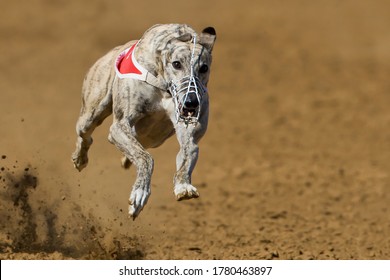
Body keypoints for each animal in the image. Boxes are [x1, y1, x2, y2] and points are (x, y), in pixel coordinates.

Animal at [71, 24, 216, 220]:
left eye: (204, 68)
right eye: (176, 64)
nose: (192, 102)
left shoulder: (189, 131)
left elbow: (188, 152)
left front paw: (183, 185)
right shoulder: (119, 126)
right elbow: (146, 158)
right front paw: (139, 194)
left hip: (156, 136)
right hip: (93, 110)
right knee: (85, 133)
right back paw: (80, 158)